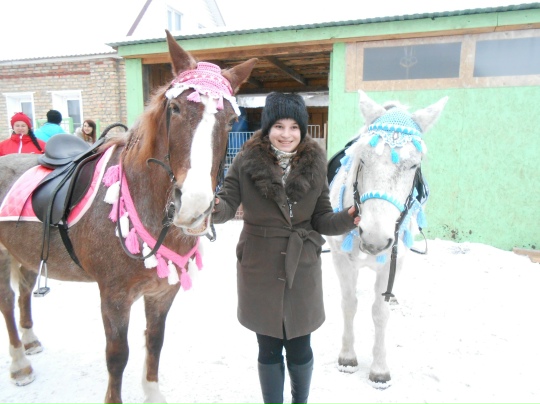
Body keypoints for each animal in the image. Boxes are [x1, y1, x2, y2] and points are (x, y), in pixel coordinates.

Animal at [0, 30, 257, 404]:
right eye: (175, 108)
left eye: (232, 121)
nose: (193, 207)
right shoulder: (114, 297)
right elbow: (117, 356)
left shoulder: (163, 292)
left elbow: (155, 342)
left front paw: (152, 393)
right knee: (6, 301)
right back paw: (20, 364)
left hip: (28, 254)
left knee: (22, 294)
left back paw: (30, 341)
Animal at [326, 90, 448, 388]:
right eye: (363, 159)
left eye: (414, 164)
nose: (374, 240)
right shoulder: (341, 259)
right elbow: (349, 304)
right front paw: (347, 357)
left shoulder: (393, 262)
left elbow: (380, 313)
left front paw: (379, 370)